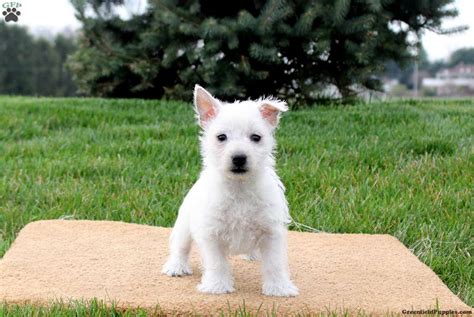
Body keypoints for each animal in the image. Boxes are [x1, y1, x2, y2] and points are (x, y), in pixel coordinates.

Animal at [161, 84, 298, 296]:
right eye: (221, 137)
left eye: (256, 137)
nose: (239, 158)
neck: (239, 187)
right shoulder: (212, 234)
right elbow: (217, 263)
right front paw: (217, 286)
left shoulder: (271, 232)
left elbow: (274, 264)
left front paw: (279, 288)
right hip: (184, 224)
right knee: (180, 246)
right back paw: (176, 267)